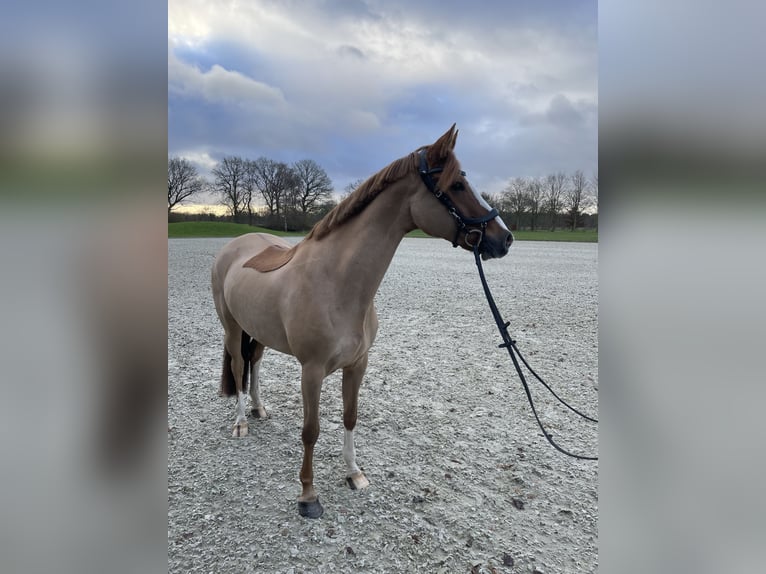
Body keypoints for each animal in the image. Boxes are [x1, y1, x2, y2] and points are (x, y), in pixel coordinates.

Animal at [212, 124, 516, 520]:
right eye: (457, 185)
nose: (504, 238)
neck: (337, 283)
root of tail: (236, 245)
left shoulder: (358, 365)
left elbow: (350, 416)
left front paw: (354, 474)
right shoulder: (311, 371)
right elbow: (311, 430)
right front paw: (308, 496)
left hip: (258, 330)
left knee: (256, 362)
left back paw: (259, 409)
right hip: (232, 328)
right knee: (237, 366)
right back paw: (241, 423)